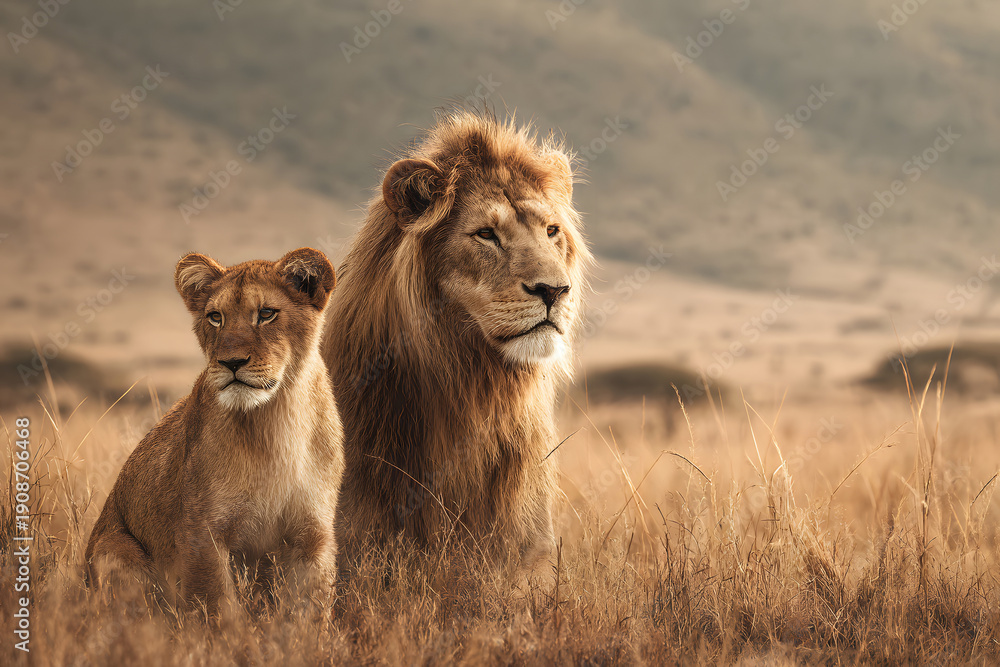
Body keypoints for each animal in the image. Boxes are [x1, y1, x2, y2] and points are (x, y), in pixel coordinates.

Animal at [85, 248, 344, 618]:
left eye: (266, 314)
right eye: (215, 317)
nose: (231, 363)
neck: (276, 423)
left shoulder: (313, 536)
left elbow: (308, 614)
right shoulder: (201, 534)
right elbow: (218, 611)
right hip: (114, 550)